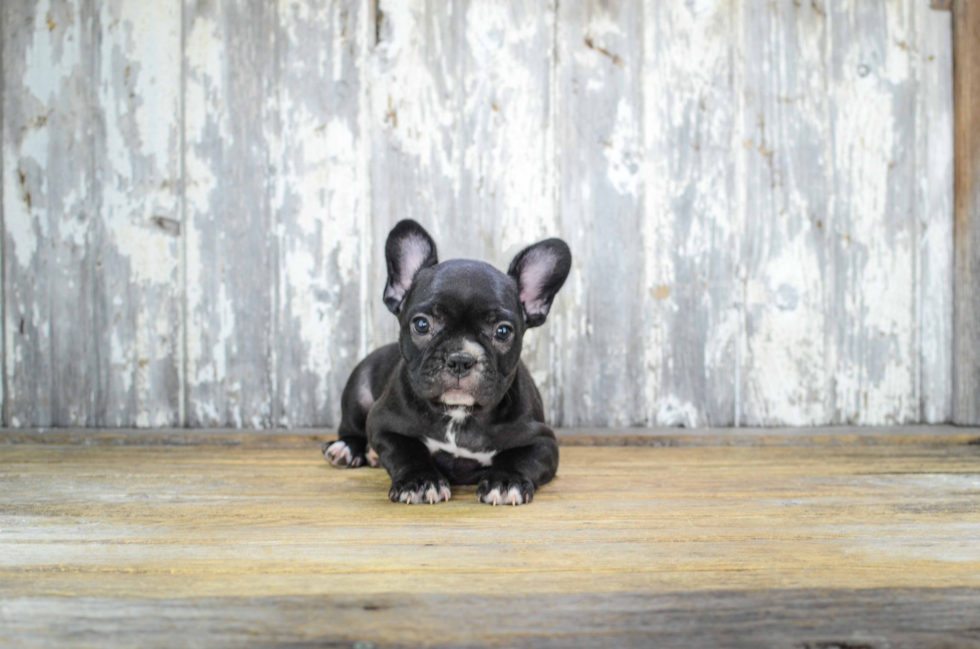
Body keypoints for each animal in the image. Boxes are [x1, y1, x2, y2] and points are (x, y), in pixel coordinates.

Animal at [324, 219, 568, 506]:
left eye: (503, 331)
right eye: (421, 324)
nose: (461, 358)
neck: (458, 413)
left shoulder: (544, 441)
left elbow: (521, 458)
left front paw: (506, 481)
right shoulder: (382, 423)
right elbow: (407, 450)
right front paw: (420, 481)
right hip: (357, 392)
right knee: (351, 428)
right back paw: (347, 449)